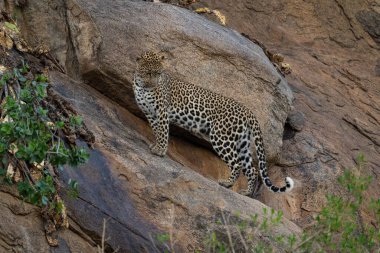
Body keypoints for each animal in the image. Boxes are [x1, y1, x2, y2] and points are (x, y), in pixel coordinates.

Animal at [132, 50, 296, 195]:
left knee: (237, 163)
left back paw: (227, 183)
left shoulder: (162, 112)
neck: (143, 86)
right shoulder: (150, 114)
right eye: (149, 73)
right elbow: (156, 131)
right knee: (252, 169)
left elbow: (163, 132)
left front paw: (160, 151)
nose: (154, 84)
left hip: (221, 137)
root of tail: (248, 111)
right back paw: (246, 192)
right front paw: (155, 146)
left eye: (159, 73)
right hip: (242, 143)